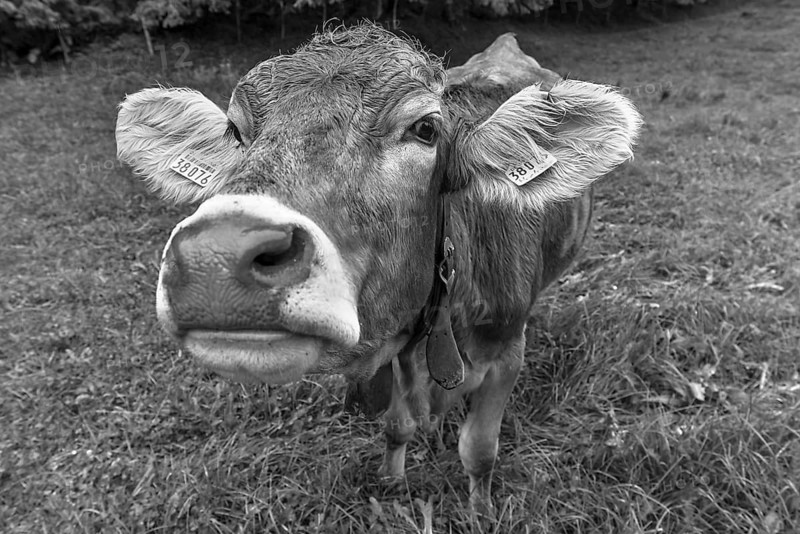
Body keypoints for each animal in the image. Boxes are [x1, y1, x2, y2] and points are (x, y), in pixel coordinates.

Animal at [115, 23, 642, 512]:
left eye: (426, 129)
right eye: (235, 132)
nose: (216, 256)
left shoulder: (506, 349)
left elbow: (479, 449)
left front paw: (481, 509)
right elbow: (396, 424)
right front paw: (391, 480)